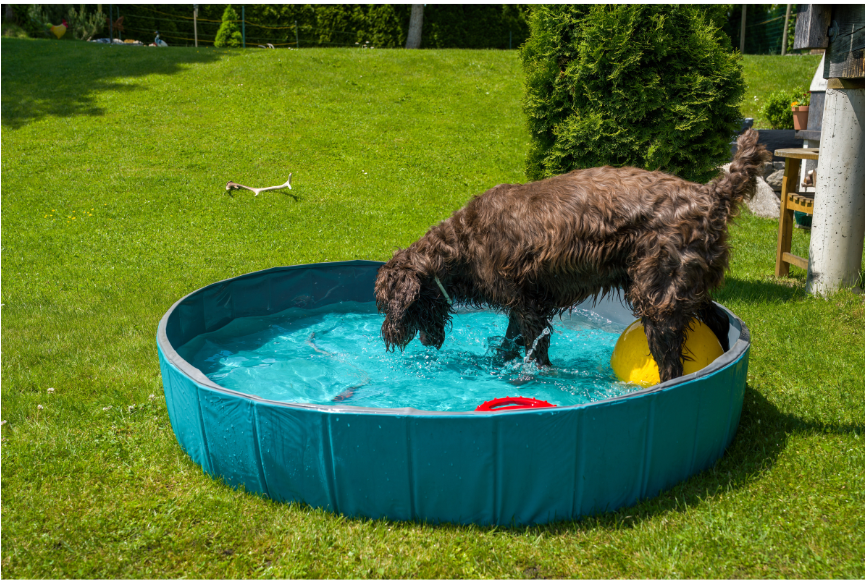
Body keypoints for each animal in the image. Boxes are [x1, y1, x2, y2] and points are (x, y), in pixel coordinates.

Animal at [374, 132, 768, 384]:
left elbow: (534, 351)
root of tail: (711, 194)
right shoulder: (522, 304)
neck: (462, 245)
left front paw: (530, 376)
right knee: (717, 321)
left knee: (672, 364)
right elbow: (509, 344)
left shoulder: (529, 307)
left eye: (386, 304)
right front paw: (497, 363)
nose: (389, 336)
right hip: (688, 288)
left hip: (659, 298)